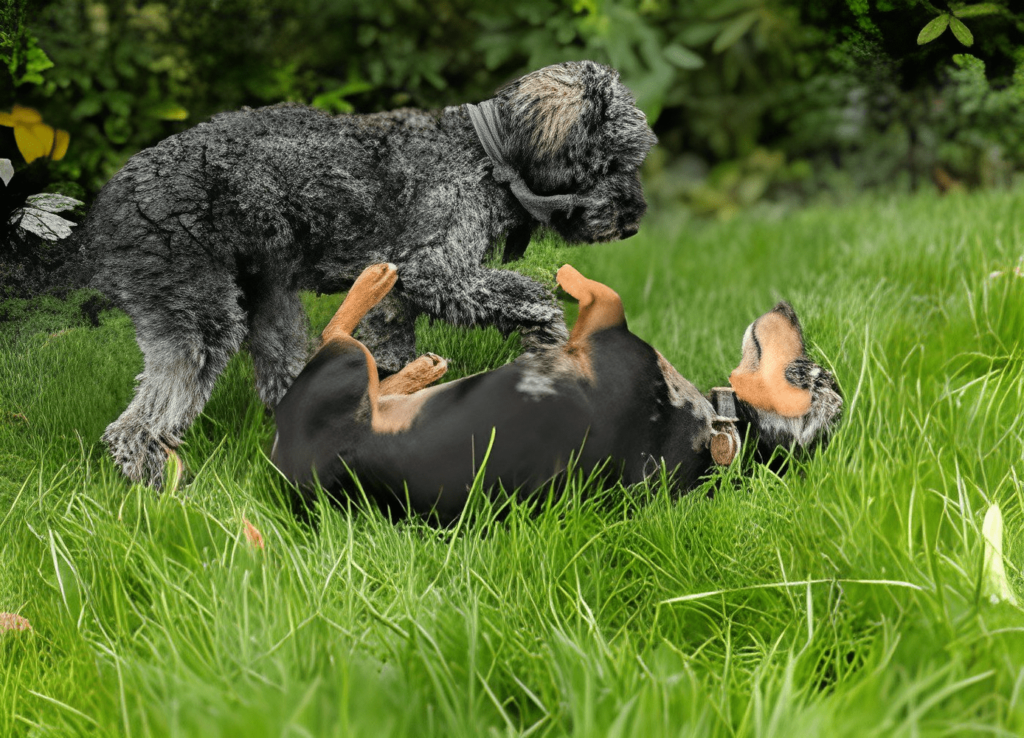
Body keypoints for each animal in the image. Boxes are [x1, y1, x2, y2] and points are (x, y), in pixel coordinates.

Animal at [81, 60, 655, 487]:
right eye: (613, 160)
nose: (632, 222)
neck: (485, 154)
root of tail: (103, 215)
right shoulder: (435, 271)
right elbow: (531, 296)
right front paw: (550, 340)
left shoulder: (393, 293)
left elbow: (393, 350)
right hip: (200, 319)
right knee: (135, 427)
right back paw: (160, 487)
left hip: (269, 300)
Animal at [270, 262, 839, 522]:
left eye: (807, 371)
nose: (788, 307)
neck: (716, 432)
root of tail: (287, 470)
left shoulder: (605, 323)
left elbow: (599, 290)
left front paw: (562, 276)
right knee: (378, 379)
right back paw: (421, 367)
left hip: (342, 365)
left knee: (338, 337)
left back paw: (376, 280)